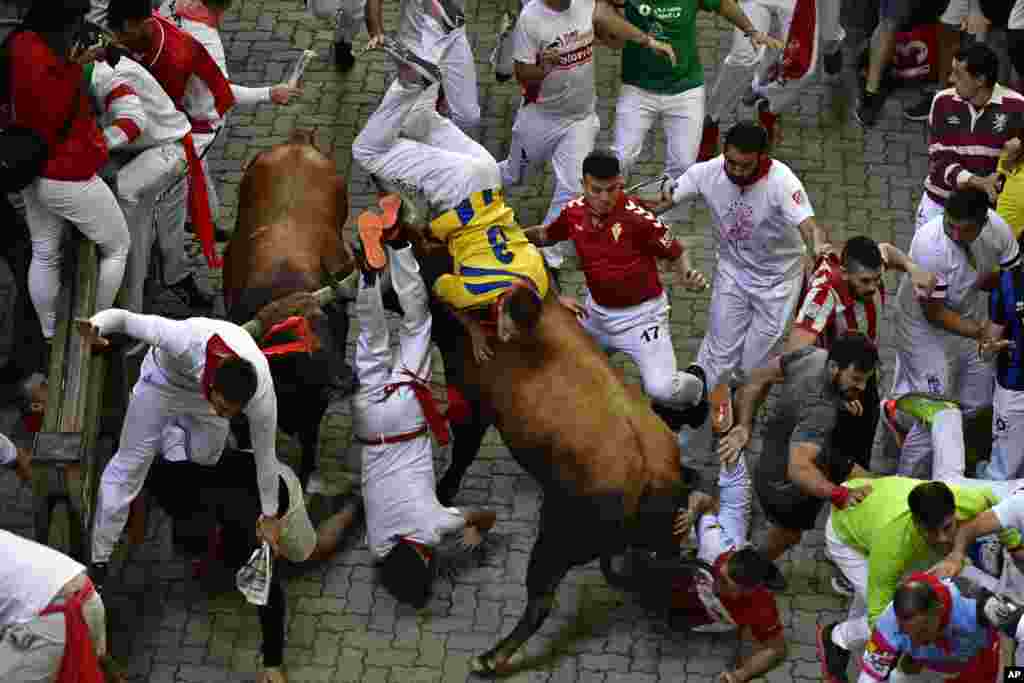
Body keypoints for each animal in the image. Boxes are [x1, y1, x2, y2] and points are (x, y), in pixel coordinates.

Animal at [224, 131, 356, 483]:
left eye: (327, 329)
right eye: (292, 343)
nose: (346, 380)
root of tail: (298, 143)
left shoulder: (313, 412)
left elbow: (309, 448)